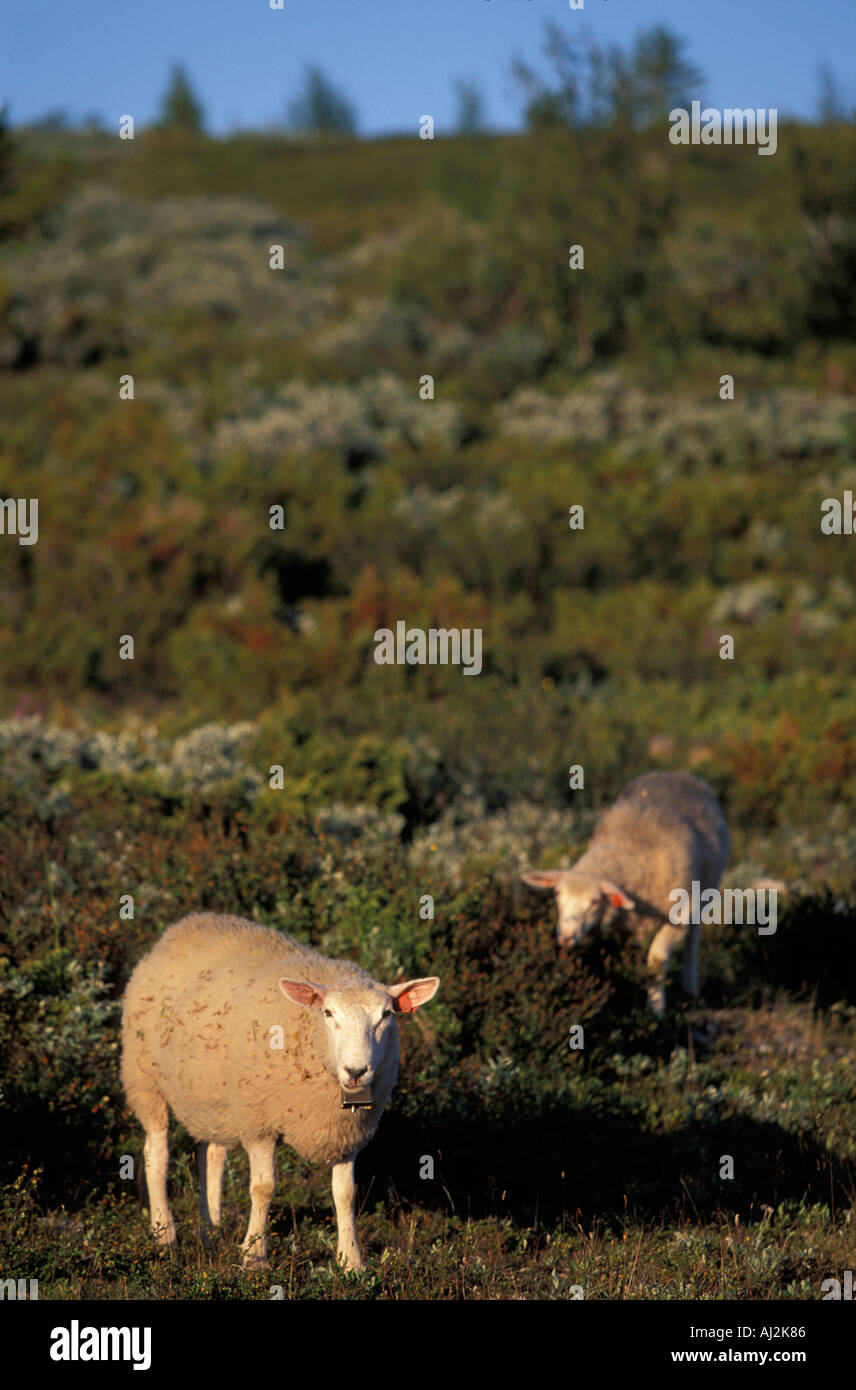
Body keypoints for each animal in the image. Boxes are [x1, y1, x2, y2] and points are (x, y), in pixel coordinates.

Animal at [120, 906, 439, 1273]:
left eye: (386, 1014)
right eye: (328, 1013)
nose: (356, 1071)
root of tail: (190, 922)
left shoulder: (347, 1132)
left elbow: (345, 1194)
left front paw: (351, 1261)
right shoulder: (258, 1120)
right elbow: (263, 1187)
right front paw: (254, 1256)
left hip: (213, 1096)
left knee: (211, 1154)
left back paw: (210, 1230)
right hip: (145, 1078)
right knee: (156, 1154)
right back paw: (165, 1234)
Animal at [522, 767, 728, 1017]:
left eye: (594, 901)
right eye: (557, 895)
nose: (566, 936)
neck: (629, 850)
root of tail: (676, 774)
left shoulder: (680, 913)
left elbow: (657, 958)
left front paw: (656, 1009)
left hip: (706, 890)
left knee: (693, 939)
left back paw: (690, 988)